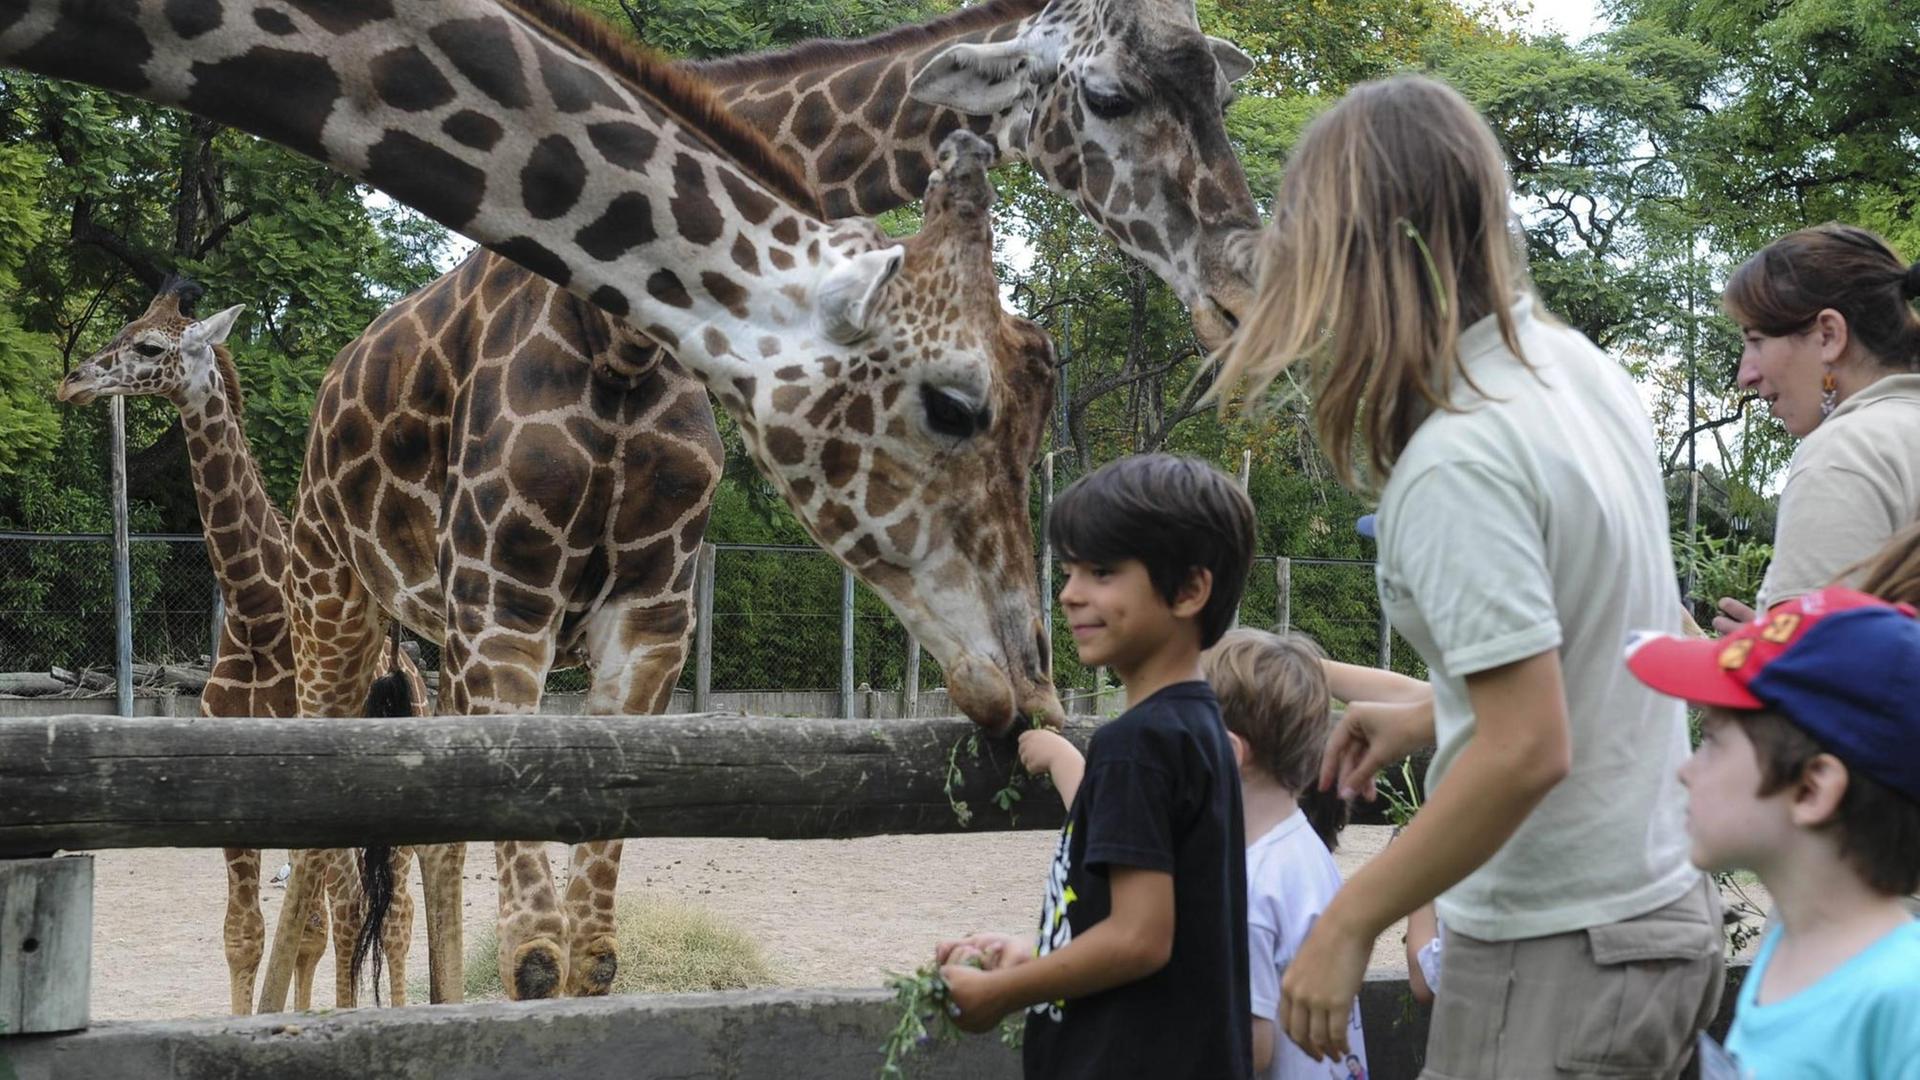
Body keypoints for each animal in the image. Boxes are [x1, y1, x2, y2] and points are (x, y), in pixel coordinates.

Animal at [53, 278, 460, 1006]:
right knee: (350, 914)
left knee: (385, 915)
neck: (256, 614)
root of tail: (406, 664)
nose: (72, 382)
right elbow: (247, 935)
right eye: (123, 327)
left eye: (148, 346)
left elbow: (329, 922)